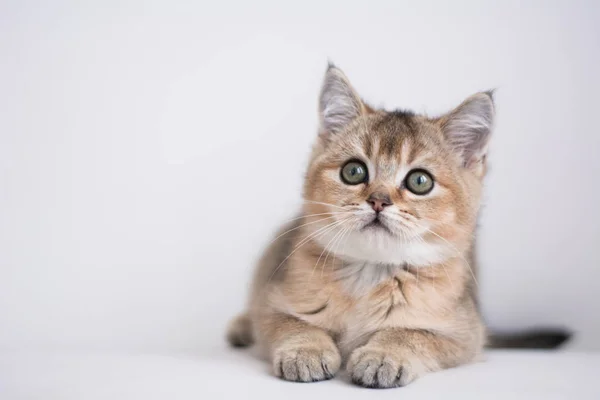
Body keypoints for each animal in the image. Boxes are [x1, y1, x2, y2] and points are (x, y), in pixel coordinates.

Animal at [226, 65, 568, 388]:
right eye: (353, 171)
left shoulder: (465, 335)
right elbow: (292, 324)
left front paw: (383, 355)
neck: (370, 274)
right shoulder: (272, 303)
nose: (378, 201)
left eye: (419, 181)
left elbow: (411, 333)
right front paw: (305, 350)